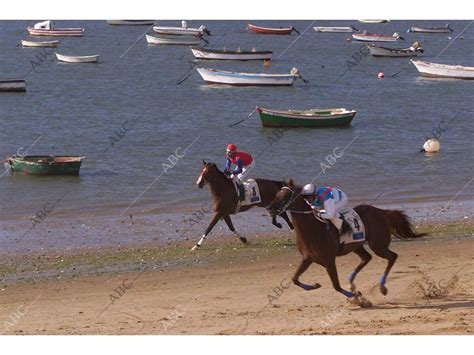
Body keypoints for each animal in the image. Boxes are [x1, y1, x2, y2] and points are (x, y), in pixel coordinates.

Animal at [268, 181, 428, 306]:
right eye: (277, 193)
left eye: (286, 196)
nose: (270, 208)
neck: (312, 229)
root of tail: (383, 212)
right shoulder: (308, 258)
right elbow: (294, 279)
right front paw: (314, 285)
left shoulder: (329, 260)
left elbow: (336, 286)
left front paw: (357, 297)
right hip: (357, 245)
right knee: (366, 258)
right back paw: (352, 282)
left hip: (378, 245)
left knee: (392, 257)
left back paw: (382, 287)